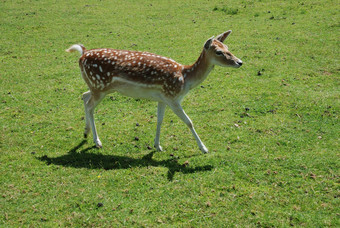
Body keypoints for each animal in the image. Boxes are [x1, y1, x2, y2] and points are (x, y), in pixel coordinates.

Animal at [65, 29, 242, 153]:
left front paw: (157, 146)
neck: (185, 79)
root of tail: (82, 54)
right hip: (99, 86)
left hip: (96, 86)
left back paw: (86, 133)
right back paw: (97, 141)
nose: (239, 62)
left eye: (228, 47)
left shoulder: (162, 98)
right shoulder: (172, 97)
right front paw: (204, 148)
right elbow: (189, 121)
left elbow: (159, 120)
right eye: (219, 52)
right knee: (90, 106)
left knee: (84, 96)